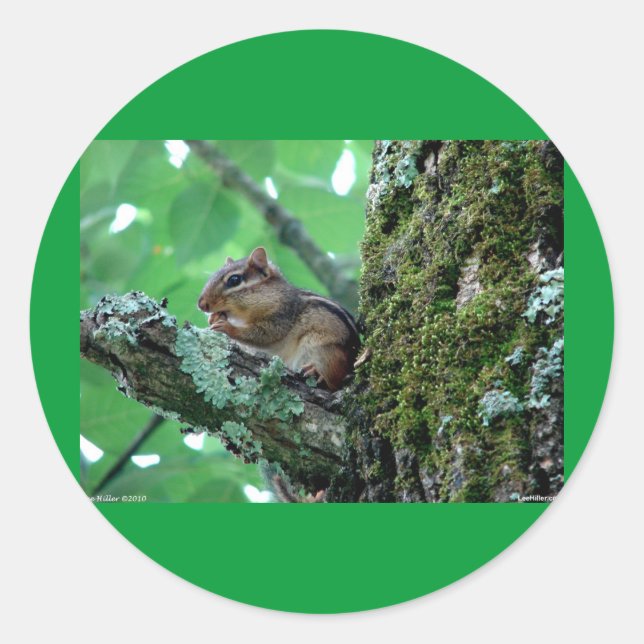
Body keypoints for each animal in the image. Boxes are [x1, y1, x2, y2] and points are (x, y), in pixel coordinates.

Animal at [197, 247, 360, 391]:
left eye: (234, 280)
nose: (201, 304)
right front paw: (213, 318)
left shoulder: (282, 316)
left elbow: (265, 335)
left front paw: (227, 327)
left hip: (324, 351)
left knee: (335, 380)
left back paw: (316, 372)